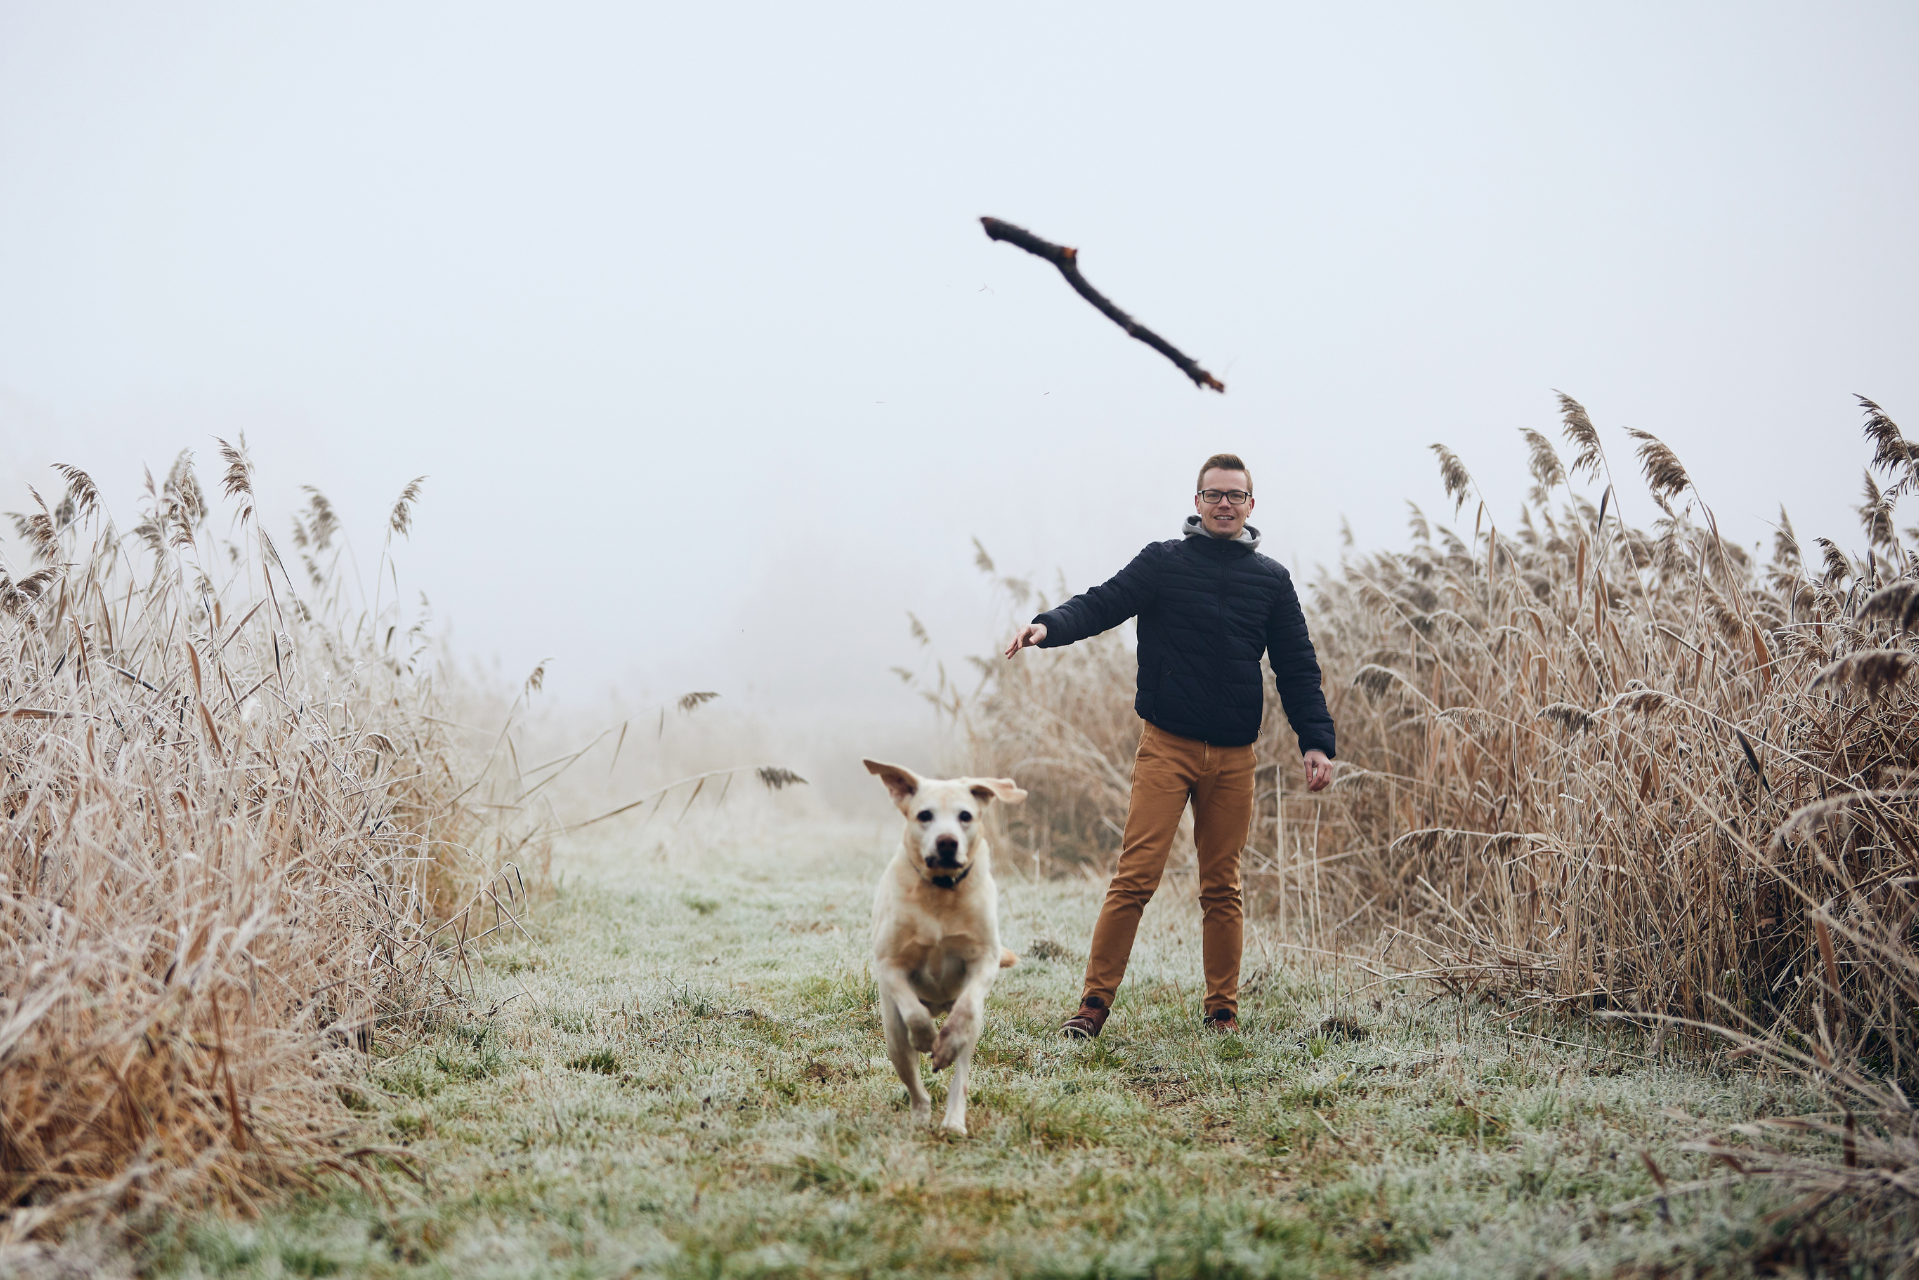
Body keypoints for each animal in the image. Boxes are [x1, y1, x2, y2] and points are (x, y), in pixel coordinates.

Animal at [867, 756, 1028, 1136]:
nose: (946, 842)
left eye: (965, 816)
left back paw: (953, 1121)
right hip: (893, 1035)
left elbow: (967, 1007)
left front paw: (945, 1043)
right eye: (924, 815)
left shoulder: (984, 960)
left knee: (962, 1072)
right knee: (916, 1085)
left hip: (972, 1031)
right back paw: (920, 1116)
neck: (940, 892)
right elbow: (913, 1011)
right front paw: (927, 1038)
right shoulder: (889, 964)